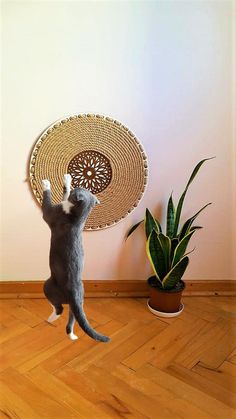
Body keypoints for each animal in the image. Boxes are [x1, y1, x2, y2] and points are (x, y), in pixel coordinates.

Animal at [41, 176, 110, 342]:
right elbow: (64, 195)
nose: (77, 185)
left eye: (78, 189)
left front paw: (46, 184)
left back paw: (50, 318)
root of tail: (74, 293)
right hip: (78, 303)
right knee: (72, 319)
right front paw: (67, 179)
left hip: (48, 286)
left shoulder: (52, 213)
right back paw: (71, 334)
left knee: (59, 308)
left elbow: (47, 202)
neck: (79, 217)